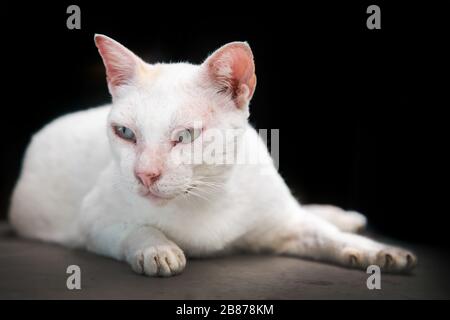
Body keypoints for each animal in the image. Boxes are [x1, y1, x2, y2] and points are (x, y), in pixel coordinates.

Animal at [7, 34, 414, 276]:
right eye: (125, 134)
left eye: (185, 136)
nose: (144, 175)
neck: (206, 198)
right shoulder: (92, 220)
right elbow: (135, 228)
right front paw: (157, 248)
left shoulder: (286, 224)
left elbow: (327, 236)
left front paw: (377, 251)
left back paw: (344, 217)